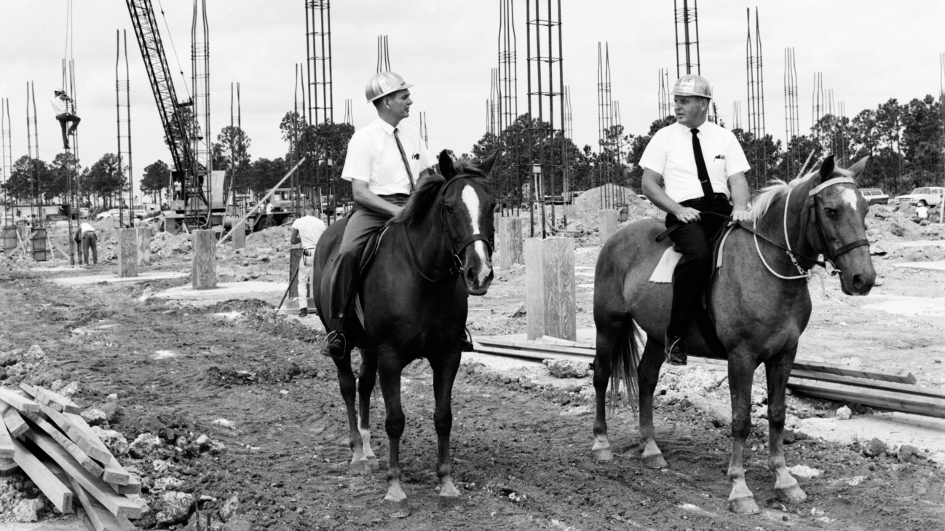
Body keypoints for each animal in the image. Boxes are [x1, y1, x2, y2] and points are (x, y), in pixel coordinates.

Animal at [314, 152, 498, 516]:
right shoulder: (391, 357)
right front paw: (395, 490)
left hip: (369, 349)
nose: (479, 273)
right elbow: (395, 420)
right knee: (347, 386)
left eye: (492, 205)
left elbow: (443, 417)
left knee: (364, 385)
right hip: (340, 342)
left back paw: (369, 449)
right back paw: (358, 453)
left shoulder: (447, 356)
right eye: (449, 207)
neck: (425, 278)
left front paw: (447, 484)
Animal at [592, 156, 872, 512]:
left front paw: (784, 480)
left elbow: (777, 415)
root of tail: (618, 235)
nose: (863, 279)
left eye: (865, 208)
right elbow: (741, 420)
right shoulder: (741, 358)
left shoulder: (784, 355)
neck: (769, 268)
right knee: (601, 375)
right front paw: (740, 489)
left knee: (646, 379)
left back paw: (651, 448)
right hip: (608, 323)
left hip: (658, 335)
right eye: (832, 210)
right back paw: (601, 443)